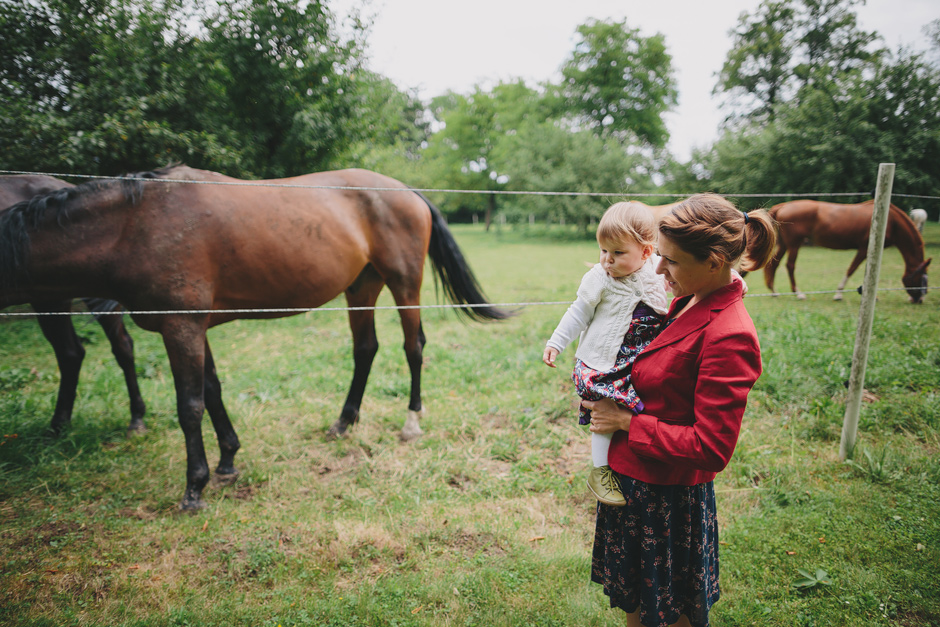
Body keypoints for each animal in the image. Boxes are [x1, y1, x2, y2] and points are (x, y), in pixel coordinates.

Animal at [768, 199, 928, 302]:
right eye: (921, 278)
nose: (919, 299)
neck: (891, 221)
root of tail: (784, 206)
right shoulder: (864, 248)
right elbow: (852, 269)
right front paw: (838, 294)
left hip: (785, 244)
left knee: (774, 264)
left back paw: (774, 291)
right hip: (794, 244)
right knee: (790, 266)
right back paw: (799, 293)